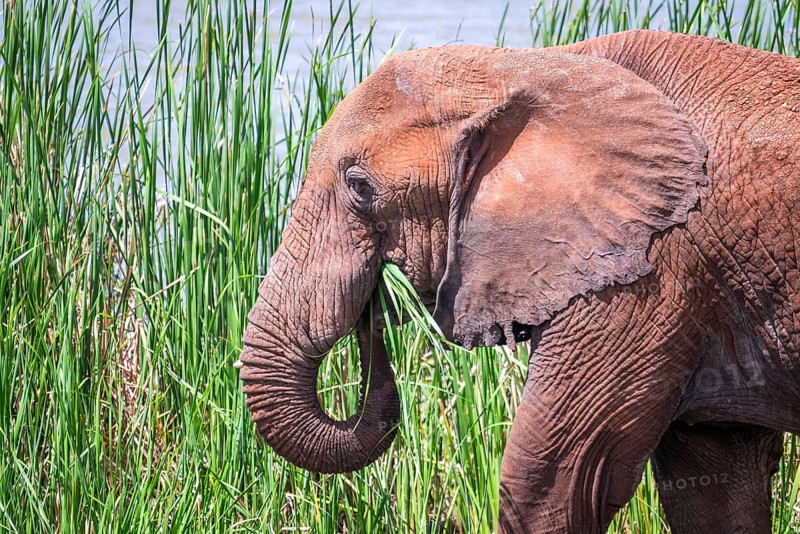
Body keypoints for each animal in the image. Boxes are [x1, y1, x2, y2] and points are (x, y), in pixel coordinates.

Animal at [238, 30, 800, 533]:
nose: (374, 306)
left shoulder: (647, 275)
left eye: (359, 188)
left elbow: (553, 485)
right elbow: (714, 485)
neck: (531, 66)